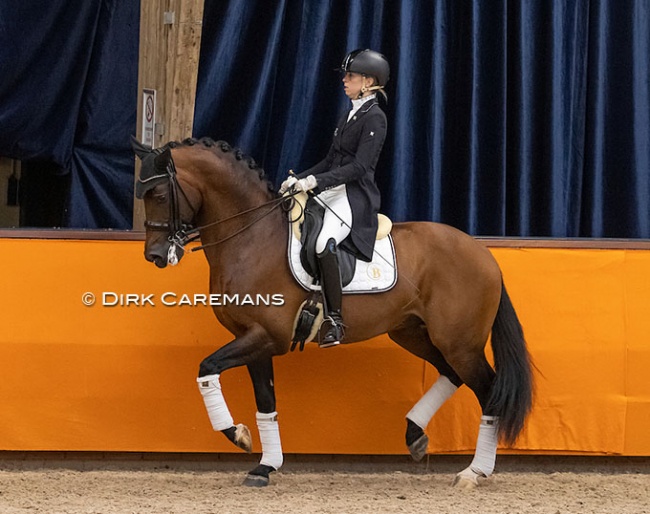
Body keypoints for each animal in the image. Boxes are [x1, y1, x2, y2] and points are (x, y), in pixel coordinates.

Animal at [132, 136, 533, 489]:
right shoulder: (254, 340)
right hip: (414, 333)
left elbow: (207, 368)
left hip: (460, 343)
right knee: (450, 374)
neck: (252, 237)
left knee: (489, 391)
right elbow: (266, 404)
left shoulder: (267, 337)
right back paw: (415, 435)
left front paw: (238, 435)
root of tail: (483, 254)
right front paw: (265, 466)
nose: (154, 256)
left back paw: (473, 472)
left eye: (160, 194)